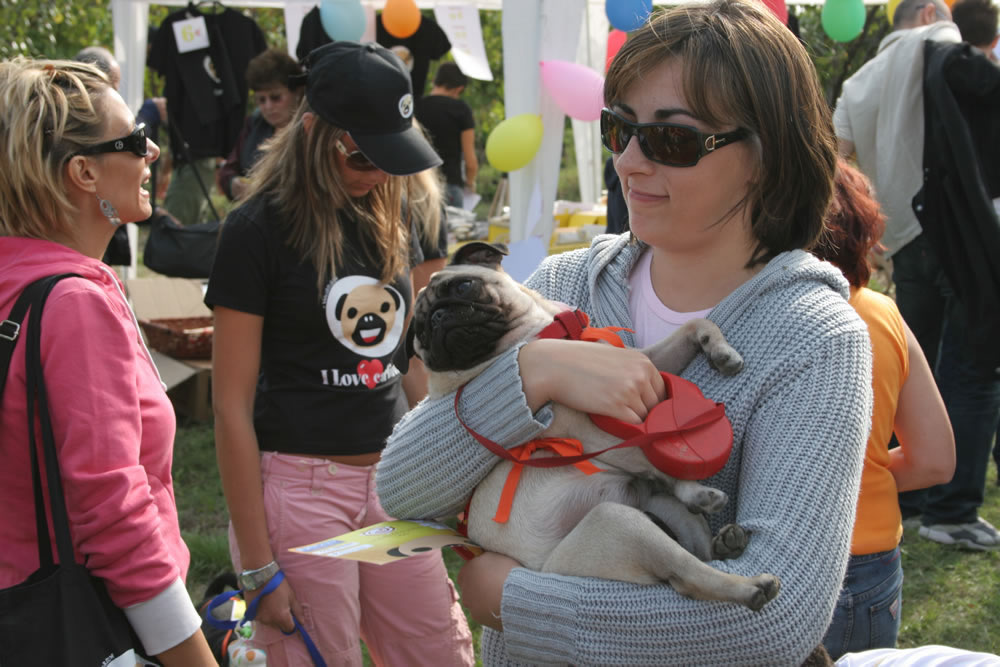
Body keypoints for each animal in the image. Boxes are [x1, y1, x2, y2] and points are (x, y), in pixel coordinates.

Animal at [408, 242, 781, 612]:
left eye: (463, 286)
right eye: (420, 334)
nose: (437, 319)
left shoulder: (643, 363)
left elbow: (693, 325)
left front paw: (720, 350)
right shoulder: (598, 432)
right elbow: (660, 461)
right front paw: (696, 490)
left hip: (661, 511)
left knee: (695, 553)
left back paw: (727, 544)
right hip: (618, 522)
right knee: (688, 574)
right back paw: (748, 584)